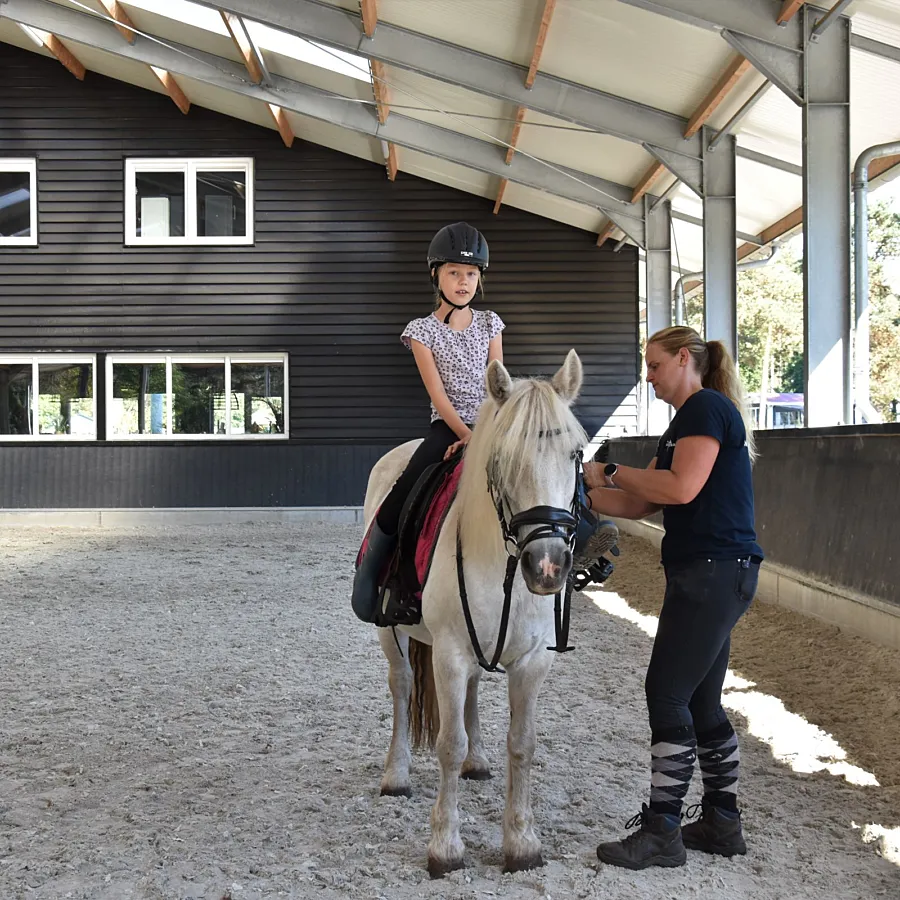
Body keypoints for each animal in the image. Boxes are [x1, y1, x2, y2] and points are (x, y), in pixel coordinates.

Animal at [362, 348, 588, 876]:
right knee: (402, 687)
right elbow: (449, 743)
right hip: (392, 635)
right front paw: (445, 846)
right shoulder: (448, 654)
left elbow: (522, 744)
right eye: (503, 457)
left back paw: (479, 763)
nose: (548, 565)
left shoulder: (531, 660)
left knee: (472, 693)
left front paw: (522, 842)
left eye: (575, 454)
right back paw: (396, 774)